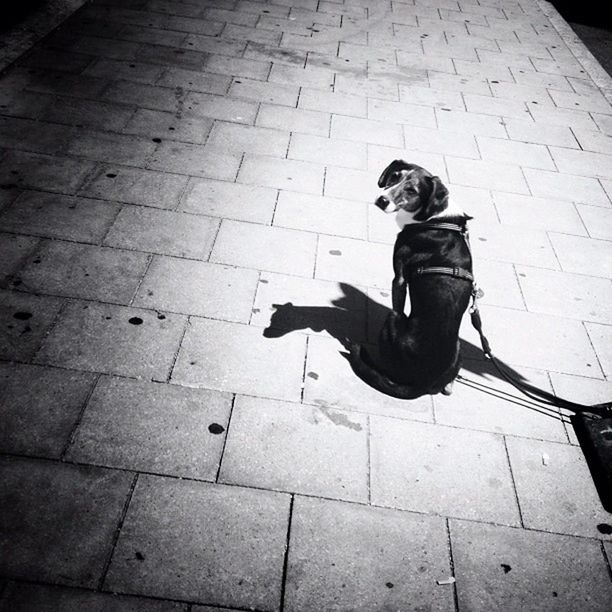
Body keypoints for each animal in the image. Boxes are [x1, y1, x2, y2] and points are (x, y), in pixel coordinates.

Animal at [350, 160, 474, 400]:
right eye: (394, 176)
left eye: (412, 191)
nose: (382, 200)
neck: (435, 218)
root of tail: (423, 384)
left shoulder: (399, 279)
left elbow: (398, 296)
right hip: (459, 346)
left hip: (392, 319)